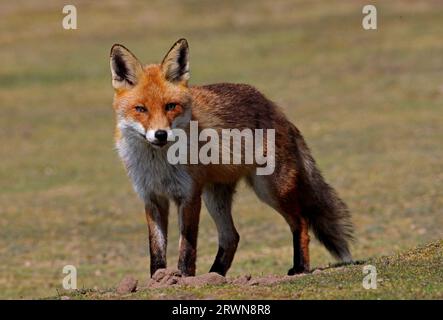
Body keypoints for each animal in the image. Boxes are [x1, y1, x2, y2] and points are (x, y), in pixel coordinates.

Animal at [110, 38, 354, 278]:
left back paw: (299, 267)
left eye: (171, 106)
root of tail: (275, 108)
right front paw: (158, 278)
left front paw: (184, 278)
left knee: (301, 223)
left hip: (270, 189)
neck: (158, 163)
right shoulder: (152, 197)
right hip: (215, 196)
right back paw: (215, 275)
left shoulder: (188, 195)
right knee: (232, 237)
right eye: (140, 109)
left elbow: (187, 247)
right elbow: (156, 248)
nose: (161, 134)